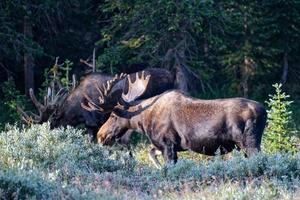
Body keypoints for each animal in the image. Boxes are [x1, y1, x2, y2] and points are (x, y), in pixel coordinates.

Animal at [96, 72, 268, 167]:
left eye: (113, 115)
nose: (100, 135)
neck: (144, 122)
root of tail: (264, 111)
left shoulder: (168, 144)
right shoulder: (165, 145)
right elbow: (151, 152)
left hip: (249, 143)